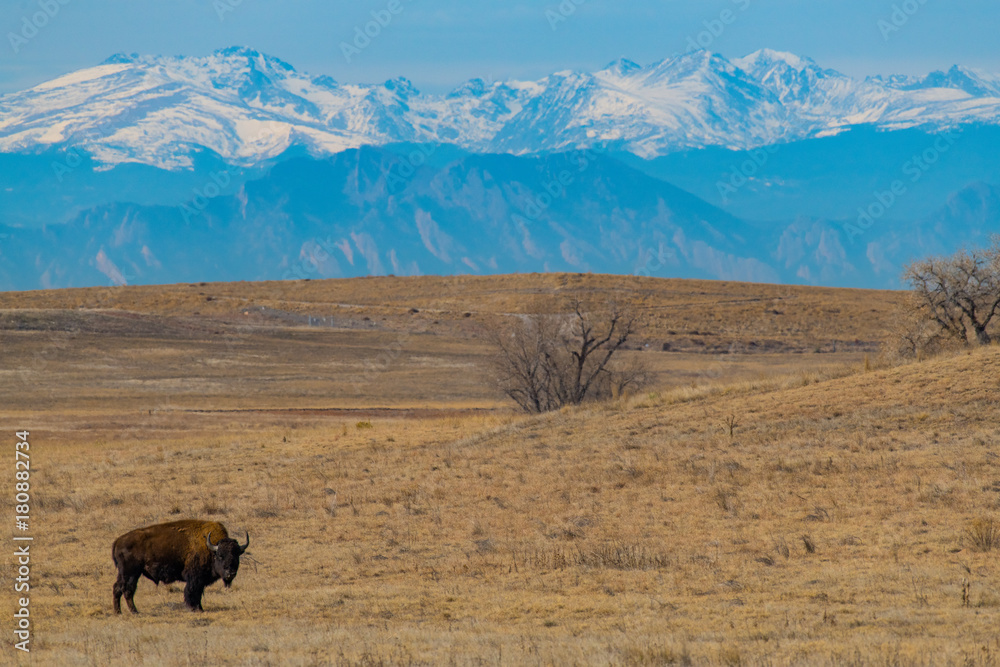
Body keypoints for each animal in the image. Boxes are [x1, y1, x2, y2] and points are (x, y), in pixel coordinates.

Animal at [112, 519, 249, 613]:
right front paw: (194, 609)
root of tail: (118, 541)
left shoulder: (201, 581)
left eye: (237, 555)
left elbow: (198, 594)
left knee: (117, 588)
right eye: (220, 555)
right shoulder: (194, 579)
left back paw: (118, 612)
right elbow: (191, 593)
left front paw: (200, 609)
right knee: (127, 590)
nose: (230, 573)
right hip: (131, 573)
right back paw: (134, 611)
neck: (210, 549)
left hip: (124, 574)